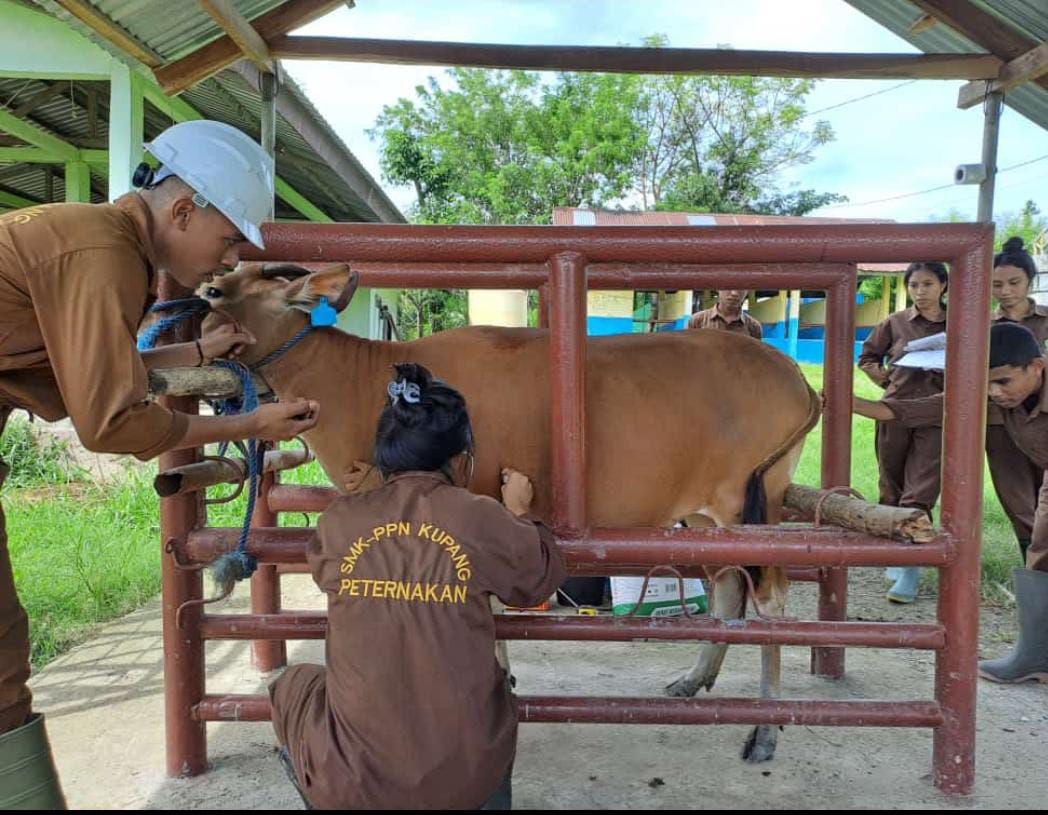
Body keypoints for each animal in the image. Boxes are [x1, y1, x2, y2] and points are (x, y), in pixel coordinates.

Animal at [200, 261, 821, 762]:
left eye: (220, 289)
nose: (199, 301)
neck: (365, 381)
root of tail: (794, 376)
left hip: (753, 505)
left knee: (770, 600)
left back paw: (767, 730)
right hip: (703, 518)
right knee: (728, 586)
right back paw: (695, 681)